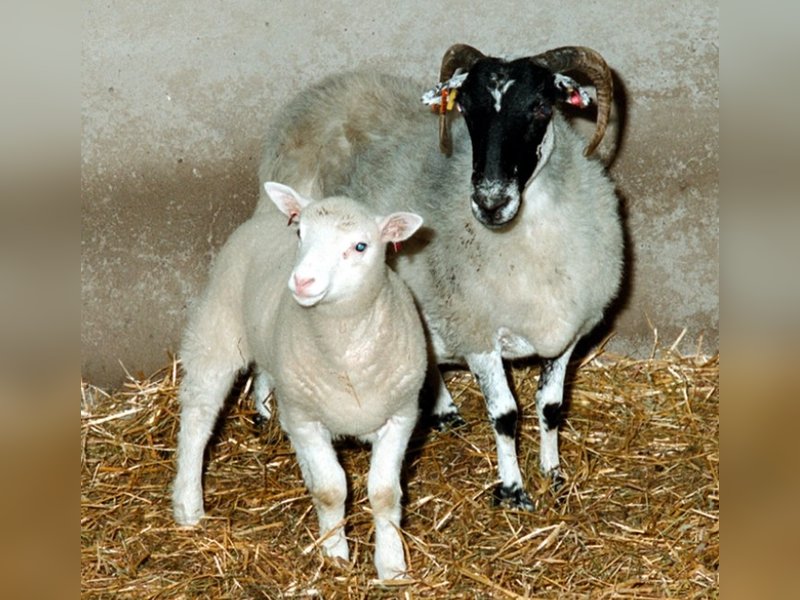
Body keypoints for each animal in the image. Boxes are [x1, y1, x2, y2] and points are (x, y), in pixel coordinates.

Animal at [172, 181, 427, 580]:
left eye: (360, 246)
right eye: (301, 234)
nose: (302, 280)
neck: (346, 354)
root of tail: (265, 218)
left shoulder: (401, 416)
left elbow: (385, 494)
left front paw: (391, 566)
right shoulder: (306, 419)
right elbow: (331, 490)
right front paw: (335, 555)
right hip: (217, 330)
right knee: (198, 418)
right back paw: (188, 505)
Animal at [256, 45, 624, 510]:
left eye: (541, 106)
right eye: (466, 108)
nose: (489, 201)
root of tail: (324, 90)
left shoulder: (568, 333)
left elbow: (551, 406)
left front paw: (554, 475)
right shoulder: (476, 330)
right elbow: (505, 415)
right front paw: (513, 490)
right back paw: (263, 411)